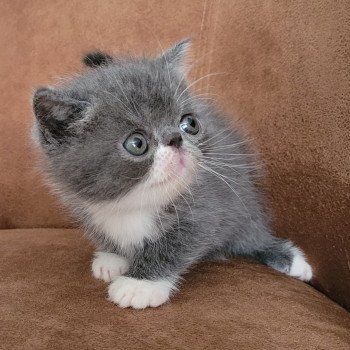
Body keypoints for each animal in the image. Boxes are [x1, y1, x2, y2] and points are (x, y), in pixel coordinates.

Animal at [32, 39, 312, 308]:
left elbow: (176, 245)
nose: (176, 138)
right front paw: (112, 257)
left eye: (190, 123)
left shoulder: (207, 207)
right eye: (137, 143)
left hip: (243, 205)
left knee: (254, 237)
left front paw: (140, 284)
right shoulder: (87, 208)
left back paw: (293, 261)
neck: (134, 202)